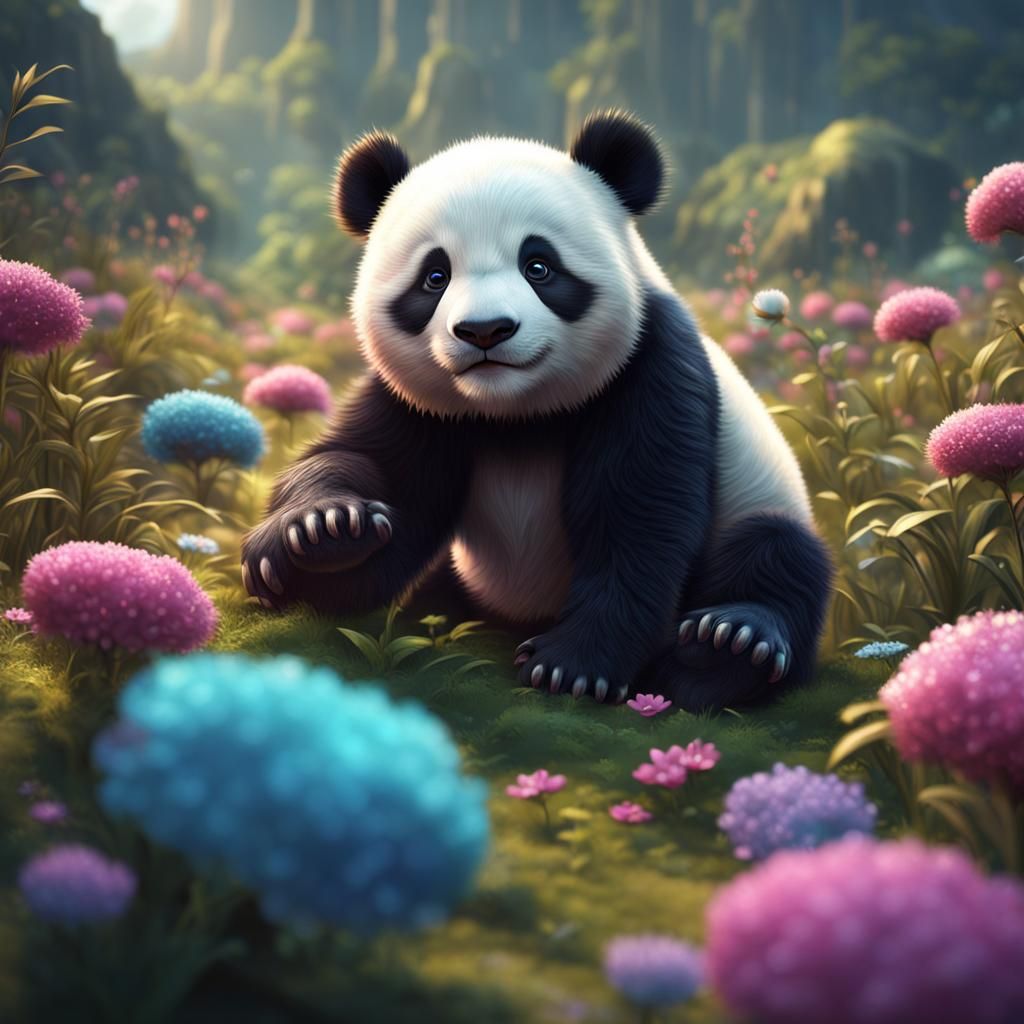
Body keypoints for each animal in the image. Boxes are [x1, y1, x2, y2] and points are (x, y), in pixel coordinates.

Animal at [241, 110, 833, 712]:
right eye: (435, 276)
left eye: (540, 266)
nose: (485, 330)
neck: (515, 412)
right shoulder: (417, 403)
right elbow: (373, 473)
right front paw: (324, 532)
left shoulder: (650, 368)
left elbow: (640, 516)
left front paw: (571, 667)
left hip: (760, 493)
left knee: (776, 553)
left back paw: (727, 645)